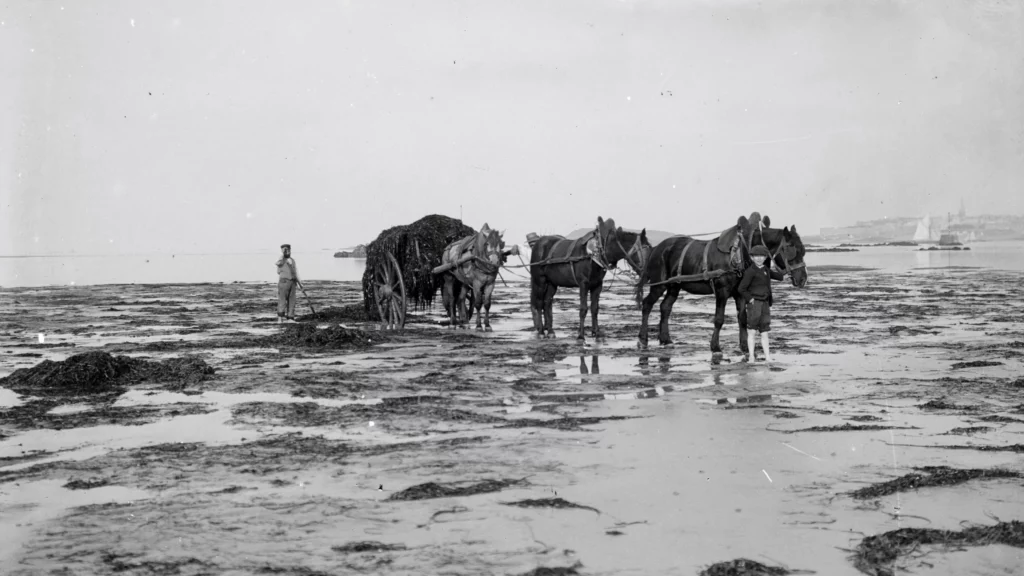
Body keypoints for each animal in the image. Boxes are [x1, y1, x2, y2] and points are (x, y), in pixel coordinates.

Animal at [635, 214, 808, 353]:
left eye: (803, 250)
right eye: (791, 249)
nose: (802, 279)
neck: (739, 253)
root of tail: (657, 248)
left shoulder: (740, 294)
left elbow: (742, 318)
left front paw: (744, 346)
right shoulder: (721, 292)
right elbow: (719, 319)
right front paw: (715, 346)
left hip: (674, 286)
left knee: (665, 307)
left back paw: (666, 339)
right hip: (659, 284)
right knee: (647, 305)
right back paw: (642, 339)